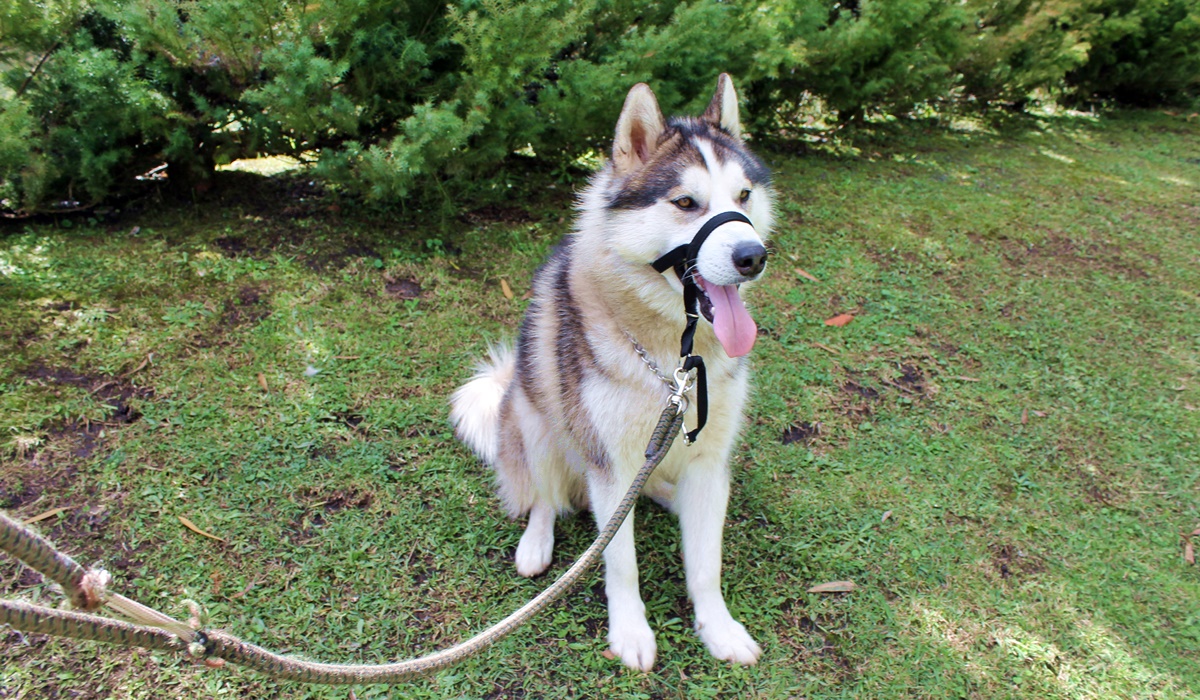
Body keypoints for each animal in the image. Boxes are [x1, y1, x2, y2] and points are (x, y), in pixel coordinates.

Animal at [453, 73, 772, 672]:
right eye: (686, 203)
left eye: (743, 197)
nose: (752, 256)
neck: (670, 359)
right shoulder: (610, 464)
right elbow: (620, 562)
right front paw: (630, 632)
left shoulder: (708, 457)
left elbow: (706, 564)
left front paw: (717, 628)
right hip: (533, 422)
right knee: (543, 499)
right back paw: (536, 542)